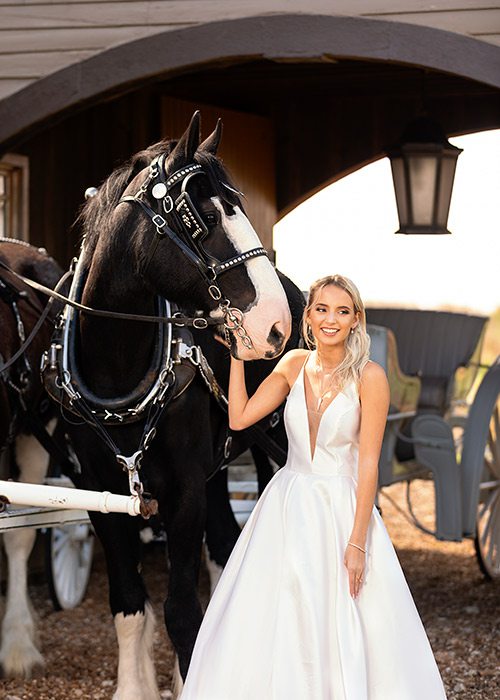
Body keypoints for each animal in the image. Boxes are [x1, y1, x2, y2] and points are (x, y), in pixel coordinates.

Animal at [57, 112, 292, 696]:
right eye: (202, 217)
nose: (274, 324)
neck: (118, 366)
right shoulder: (101, 494)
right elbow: (129, 605)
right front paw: (136, 686)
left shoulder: (183, 492)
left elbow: (182, 612)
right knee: (225, 544)